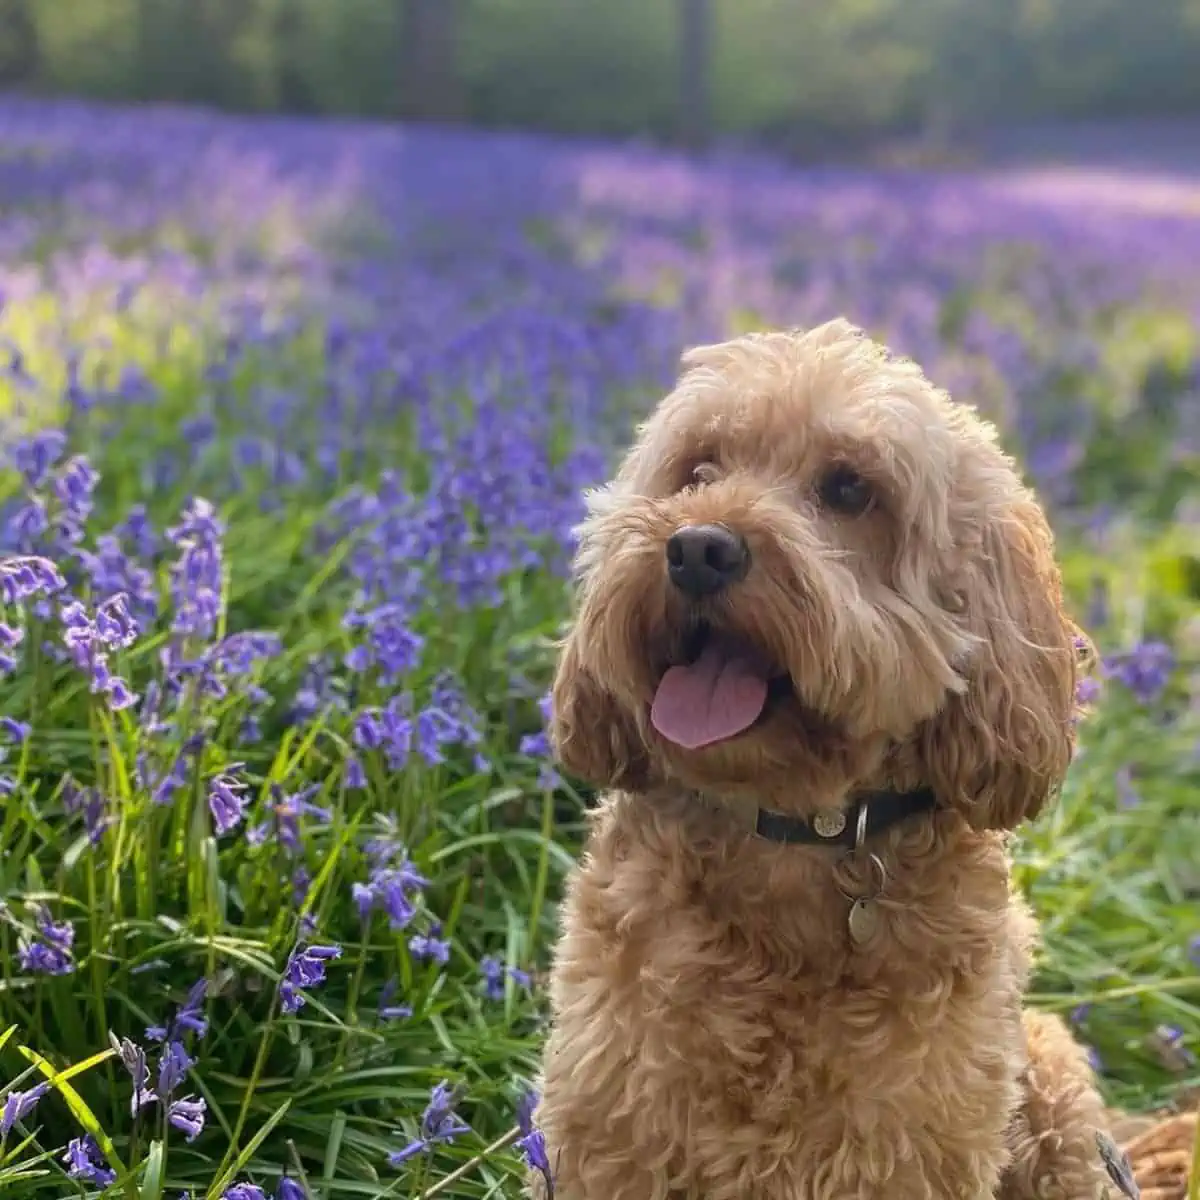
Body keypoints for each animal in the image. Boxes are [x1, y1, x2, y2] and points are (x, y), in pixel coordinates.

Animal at [530, 321, 1118, 1200]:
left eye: (848, 489)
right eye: (698, 469)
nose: (697, 548)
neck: (791, 831)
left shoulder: (909, 1151)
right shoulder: (610, 1127)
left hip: (1056, 1103)